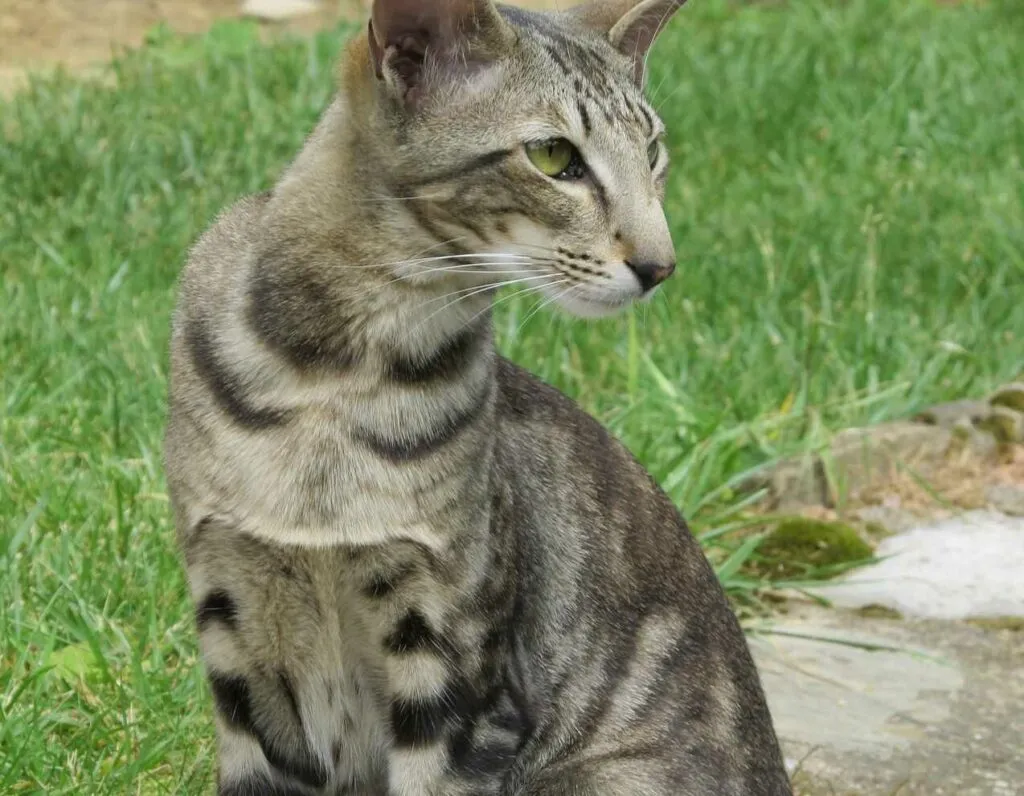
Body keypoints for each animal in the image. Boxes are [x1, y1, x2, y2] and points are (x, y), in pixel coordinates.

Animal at [165, 1, 790, 794]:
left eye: (652, 153)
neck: (329, 383)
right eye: (553, 156)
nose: (662, 265)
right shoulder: (236, 633)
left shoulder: (456, 668)